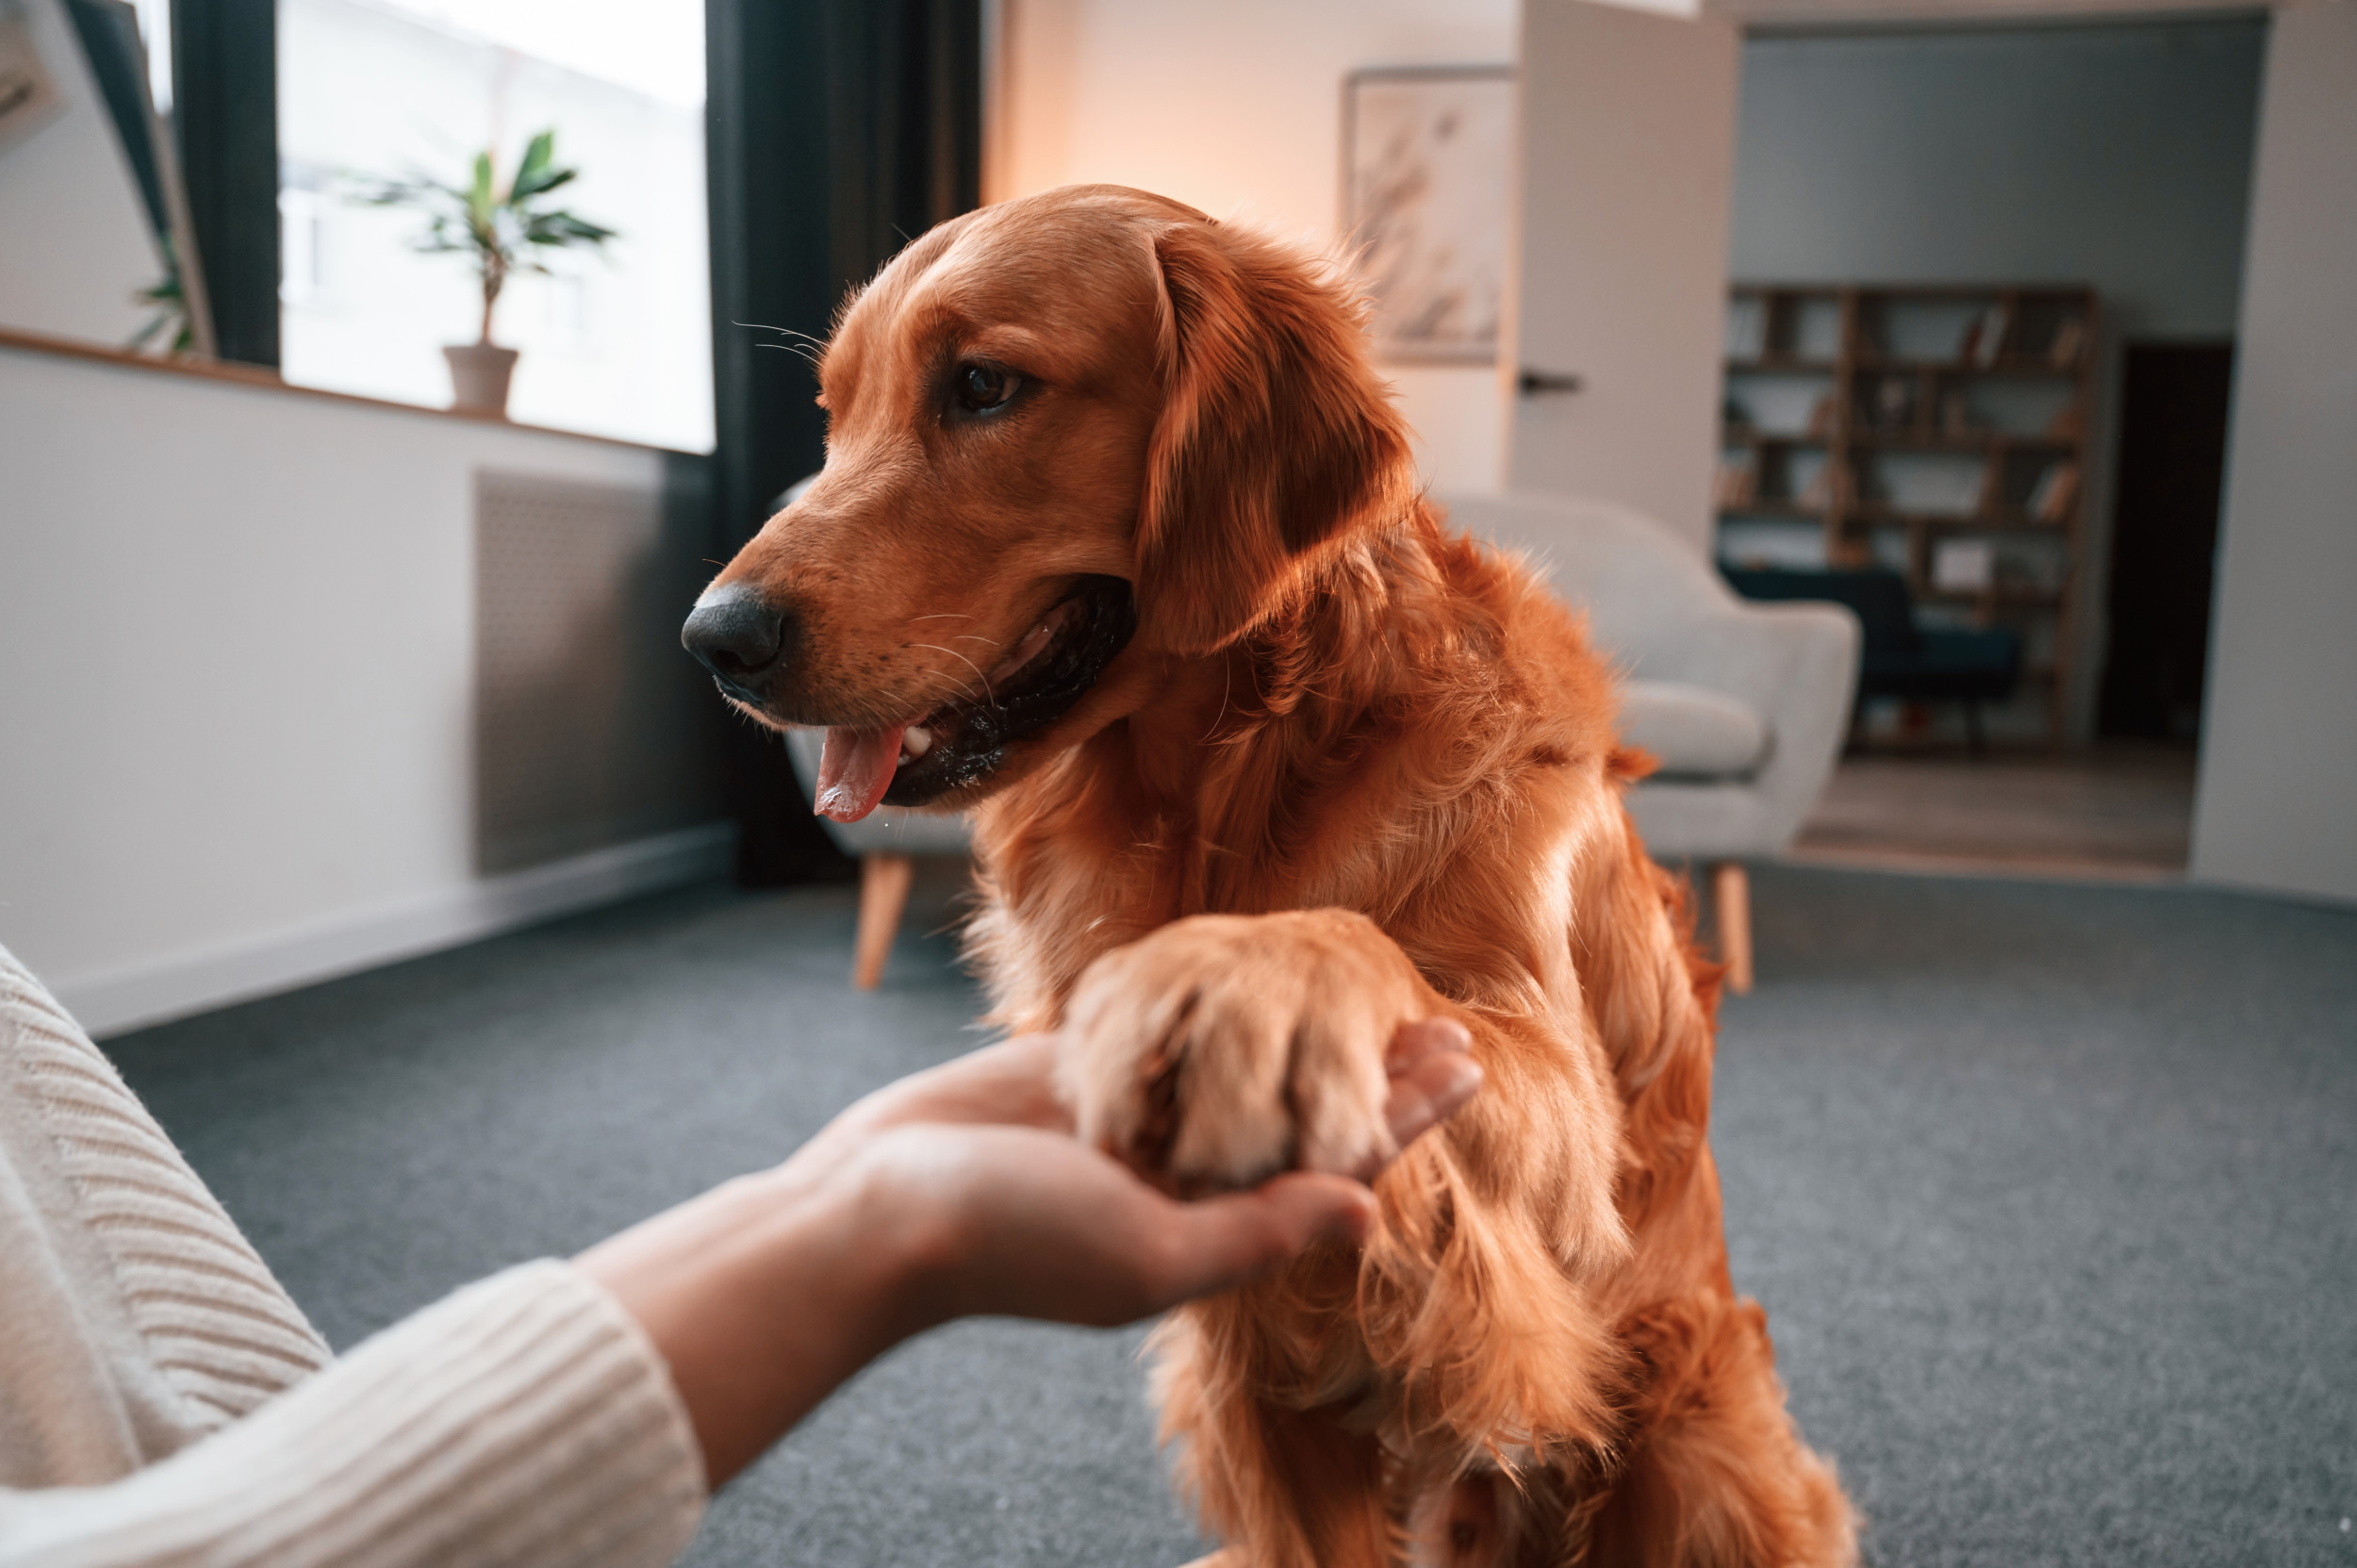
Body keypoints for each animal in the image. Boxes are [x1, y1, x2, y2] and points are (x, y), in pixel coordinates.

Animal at [684, 186, 1857, 1565]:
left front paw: (1256, 977)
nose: (714, 639)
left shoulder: (1568, 1120)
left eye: (982, 385)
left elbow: (1379, 961)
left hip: (1689, 1427)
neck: (1247, 778)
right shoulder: (1254, 1378)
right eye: (834, 415)